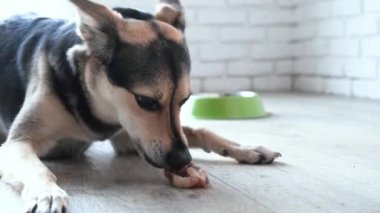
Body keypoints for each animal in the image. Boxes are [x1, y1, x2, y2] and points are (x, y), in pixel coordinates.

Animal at [0, 0, 280, 211]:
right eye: (145, 101)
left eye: (185, 100)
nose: (182, 160)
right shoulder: (18, 142)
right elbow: (39, 169)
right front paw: (47, 193)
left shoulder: (130, 137)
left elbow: (199, 131)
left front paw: (246, 148)